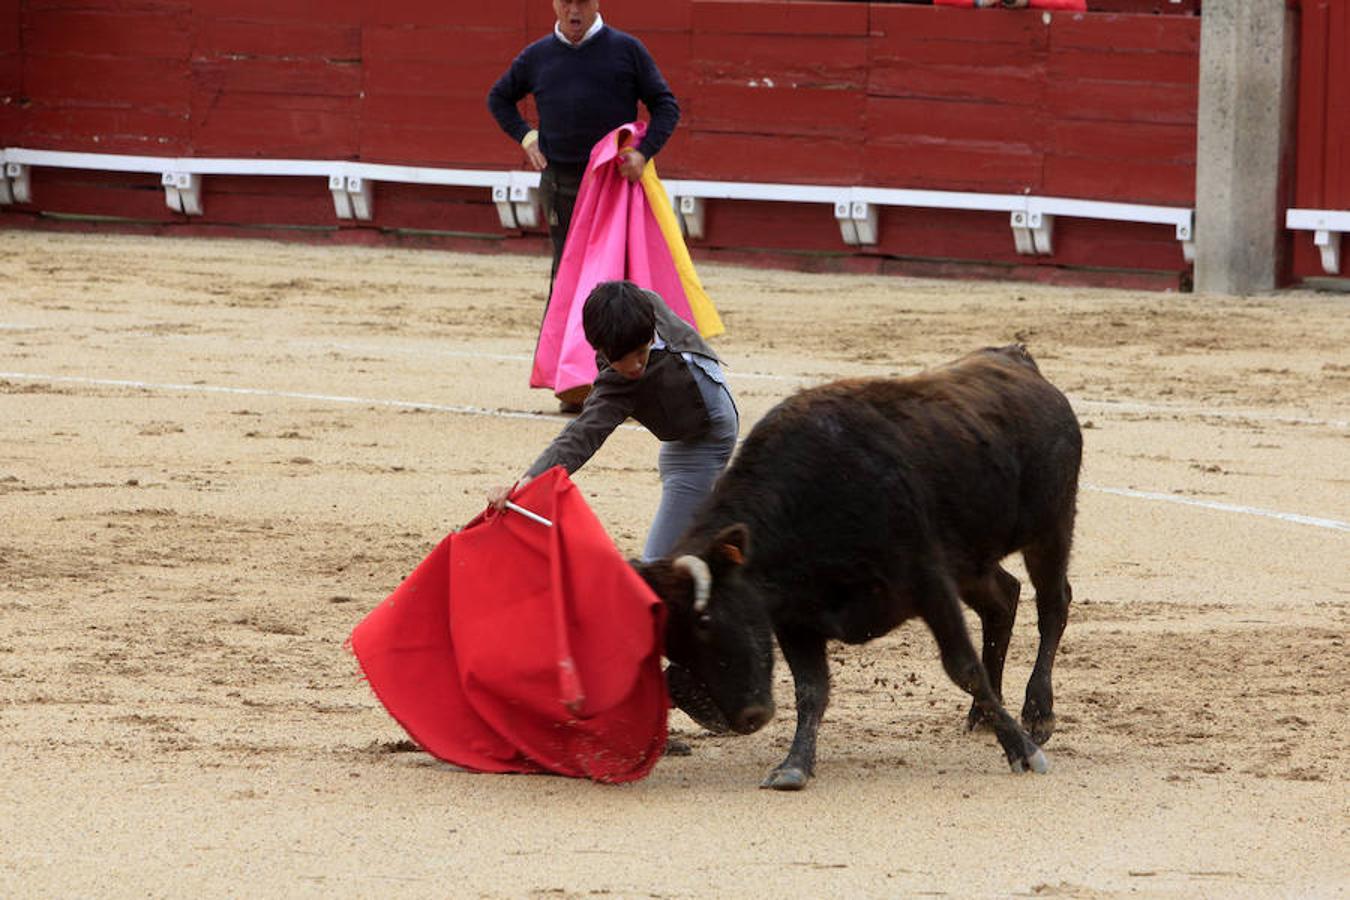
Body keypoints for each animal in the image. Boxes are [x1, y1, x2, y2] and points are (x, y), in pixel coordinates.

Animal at [634, 342, 1085, 788]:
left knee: (1053, 605)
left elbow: (963, 667)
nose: (748, 718)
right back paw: (983, 716)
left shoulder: (929, 582)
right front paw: (794, 766)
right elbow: (811, 690)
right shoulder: (794, 618)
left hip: (1051, 526)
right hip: (972, 561)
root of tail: (1018, 359)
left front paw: (1024, 751)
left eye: (706, 621)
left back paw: (1038, 714)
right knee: (1003, 600)